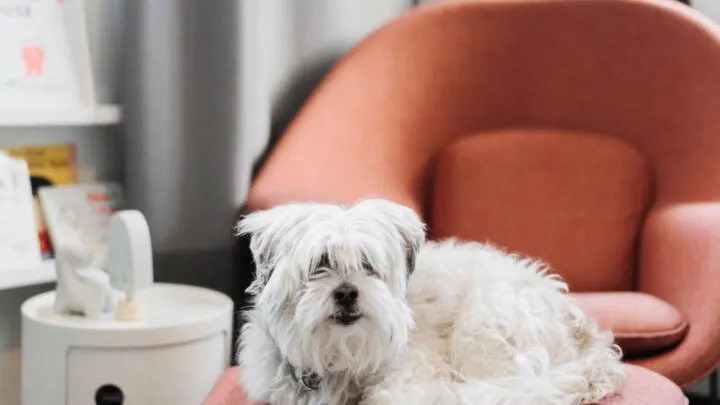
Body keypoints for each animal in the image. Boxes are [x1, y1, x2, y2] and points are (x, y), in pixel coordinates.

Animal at [236, 199, 624, 404]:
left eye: (367, 265)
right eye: (321, 263)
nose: (346, 292)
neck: (342, 358)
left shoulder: (412, 373)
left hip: (482, 326)